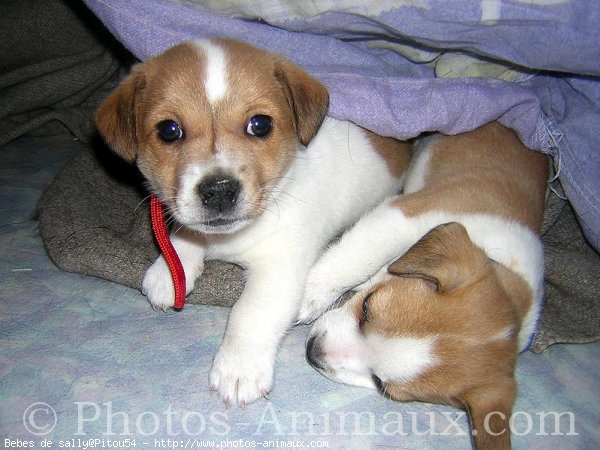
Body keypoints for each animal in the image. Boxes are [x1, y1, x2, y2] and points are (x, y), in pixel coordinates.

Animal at [95, 37, 412, 404]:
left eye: (260, 124)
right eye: (169, 130)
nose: (219, 191)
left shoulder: (279, 267)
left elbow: (249, 313)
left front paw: (238, 367)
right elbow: (186, 231)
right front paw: (171, 267)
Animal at [300, 121, 548, 448]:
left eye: (382, 384)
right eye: (366, 309)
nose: (312, 350)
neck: (493, 253)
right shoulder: (407, 214)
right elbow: (358, 255)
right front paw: (309, 294)